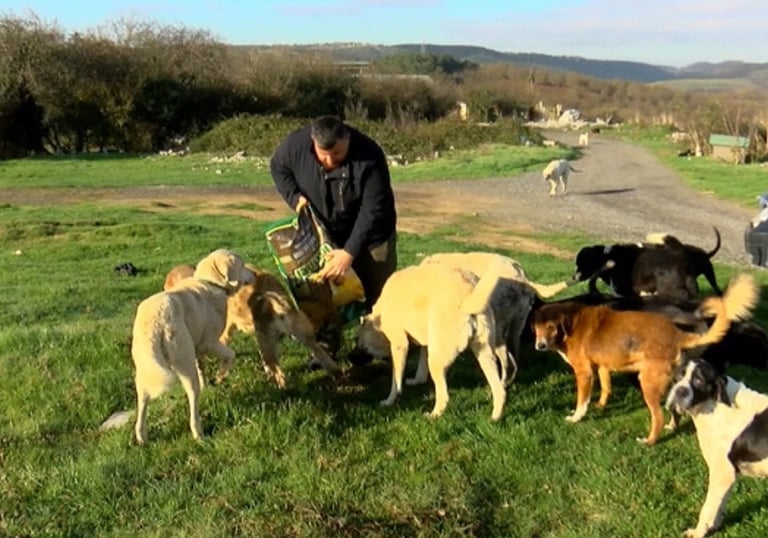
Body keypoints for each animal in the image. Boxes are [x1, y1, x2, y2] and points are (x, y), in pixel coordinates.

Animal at [131, 249, 254, 443]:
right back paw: (199, 433)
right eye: (242, 265)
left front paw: (209, 384)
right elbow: (230, 355)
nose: (255, 275)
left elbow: (202, 367)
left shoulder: (197, 349)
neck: (210, 283)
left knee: (143, 400)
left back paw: (142, 436)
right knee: (192, 399)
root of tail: (156, 321)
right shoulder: (209, 343)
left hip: (145, 370)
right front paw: (220, 376)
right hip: (184, 364)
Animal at [163, 263, 341, 387]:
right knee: (323, 357)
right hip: (304, 337)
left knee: (279, 373)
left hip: (268, 344)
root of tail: (278, 304)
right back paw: (337, 375)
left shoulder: (227, 332)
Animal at [356, 261, 506, 420]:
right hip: (485, 355)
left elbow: (396, 381)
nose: (350, 358)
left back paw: (433, 415)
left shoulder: (400, 345)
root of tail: (467, 298)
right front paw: (417, 381)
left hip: (437, 363)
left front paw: (389, 401)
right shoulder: (427, 343)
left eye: (358, 341)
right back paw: (495, 418)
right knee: (500, 390)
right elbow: (421, 366)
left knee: (445, 396)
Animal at [531, 274, 757, 445]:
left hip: (647, 383)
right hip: (672, 382)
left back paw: (649, 441)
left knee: (657, 417)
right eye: (537, 327)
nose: (539, 346)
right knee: (672, 409)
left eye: (551, 327)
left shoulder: (584, 373)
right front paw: (601, 406)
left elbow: (582, 401)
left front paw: (576, 417)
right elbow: (606, 388)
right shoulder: (603, 367)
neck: (572, 323)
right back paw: (672, 426)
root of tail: (676, 334)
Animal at [666, 359, 768, 537]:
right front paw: (714, 526)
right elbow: (719, 506)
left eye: (699, 380)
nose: (680, 391)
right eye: (679, 376)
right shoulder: (729, 474)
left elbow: (708, 507)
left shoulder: (722, 473)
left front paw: (699, 532)